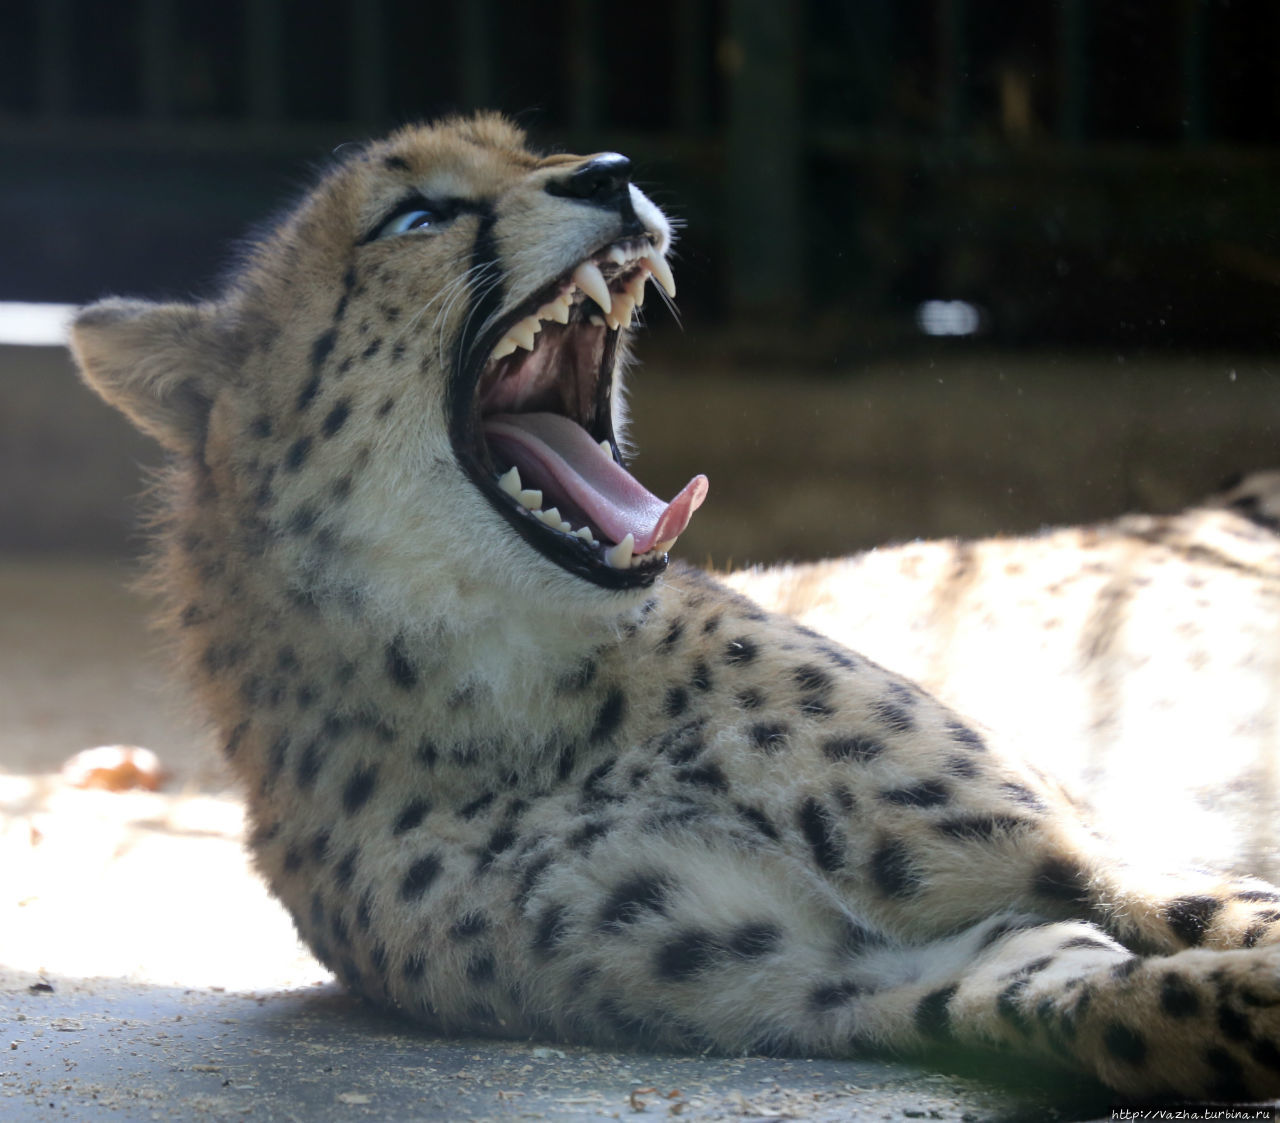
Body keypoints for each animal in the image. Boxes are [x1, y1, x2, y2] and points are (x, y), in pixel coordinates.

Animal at [72, 115, 1280, 1106]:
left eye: (535, 148)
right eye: (417, 214)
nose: (610, 172)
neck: (517, 693)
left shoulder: (1080, 846)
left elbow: (1218, 917)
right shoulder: (865, 974)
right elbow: (1126, 1004)